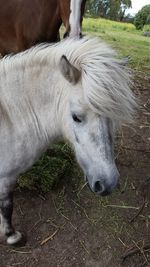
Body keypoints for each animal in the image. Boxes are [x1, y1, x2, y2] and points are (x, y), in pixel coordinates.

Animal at [0, 36, 136, 246]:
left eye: (111, 117)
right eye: (76, 117)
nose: (109, 183)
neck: (9, 117)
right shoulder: (5, 178)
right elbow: (7, 205)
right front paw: (11, 235)